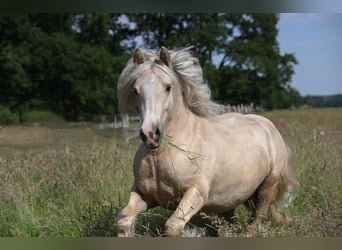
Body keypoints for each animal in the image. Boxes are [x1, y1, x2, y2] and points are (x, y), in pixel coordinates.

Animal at [115, 46, 296, 236]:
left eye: (168, 87)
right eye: (135, 90)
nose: (150, 134)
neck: (160, 154)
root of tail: (268, 126)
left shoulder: (196, 193)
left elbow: (173, 226)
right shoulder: (143, 194)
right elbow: (124, 221)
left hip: (267, 186)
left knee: (255, 221)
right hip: (228, 201)